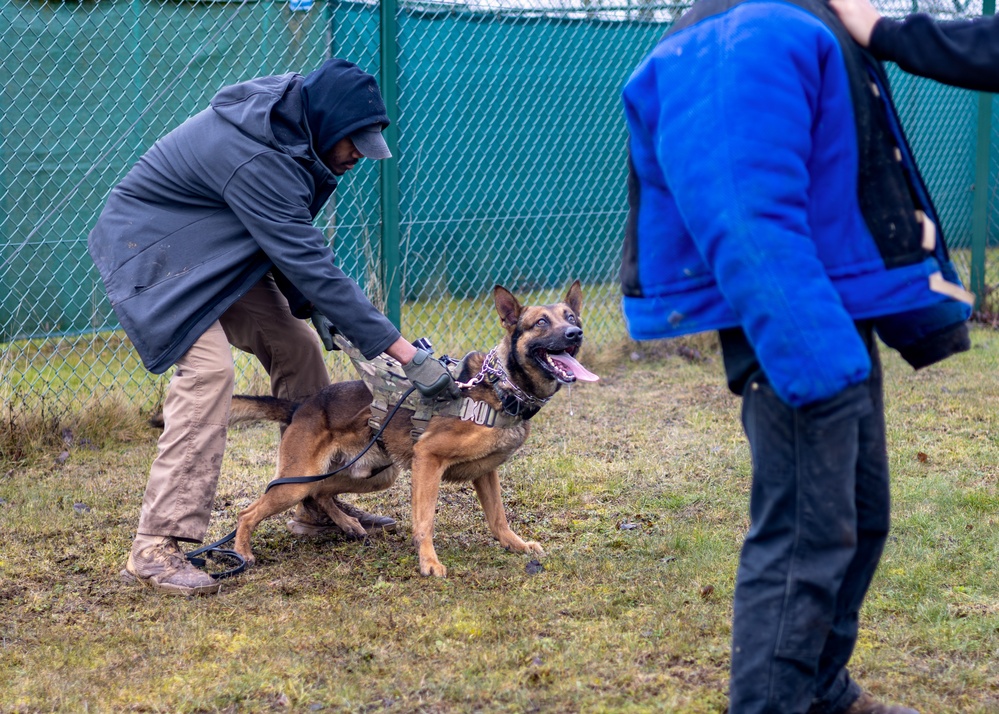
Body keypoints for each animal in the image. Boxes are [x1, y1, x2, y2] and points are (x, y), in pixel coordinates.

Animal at [229, 281, 598, 577]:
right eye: (541, 322)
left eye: (572, 318)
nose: (576, 334)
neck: (501, 386)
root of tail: (300, 406)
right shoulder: (428, 460)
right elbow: (425, 522)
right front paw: (429, 563)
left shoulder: (485, 472)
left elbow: (498, 517)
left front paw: (515, 545)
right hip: (299, 481)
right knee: (249, 512)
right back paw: (243, 553)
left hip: (373, 475)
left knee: (320, 492)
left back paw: (349, 523)